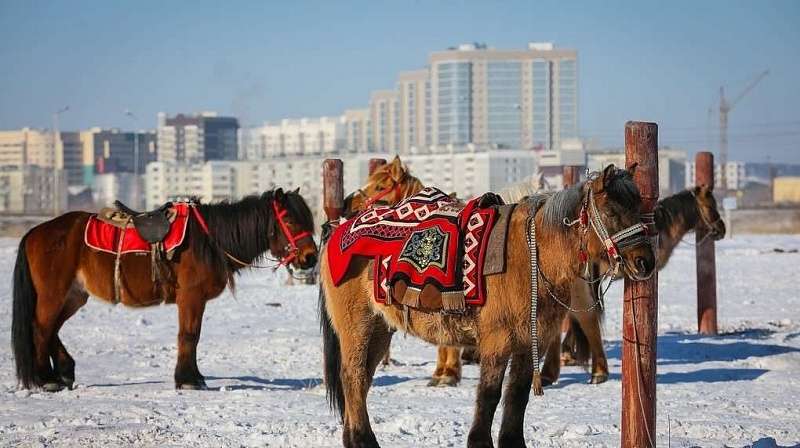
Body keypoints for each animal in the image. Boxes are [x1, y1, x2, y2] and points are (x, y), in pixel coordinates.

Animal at [11, 189, 318, 392]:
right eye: (290, 221)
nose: (311, 257)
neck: (209, 239)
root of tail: (36, 232)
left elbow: (193, 336)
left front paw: (194, 376)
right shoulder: (190, 297)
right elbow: (189, 335)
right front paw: (187, 380)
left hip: (74, 296)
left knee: (51, 328)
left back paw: (64, 372)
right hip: (54, 294)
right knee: (41, 328)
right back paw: (47, 379)